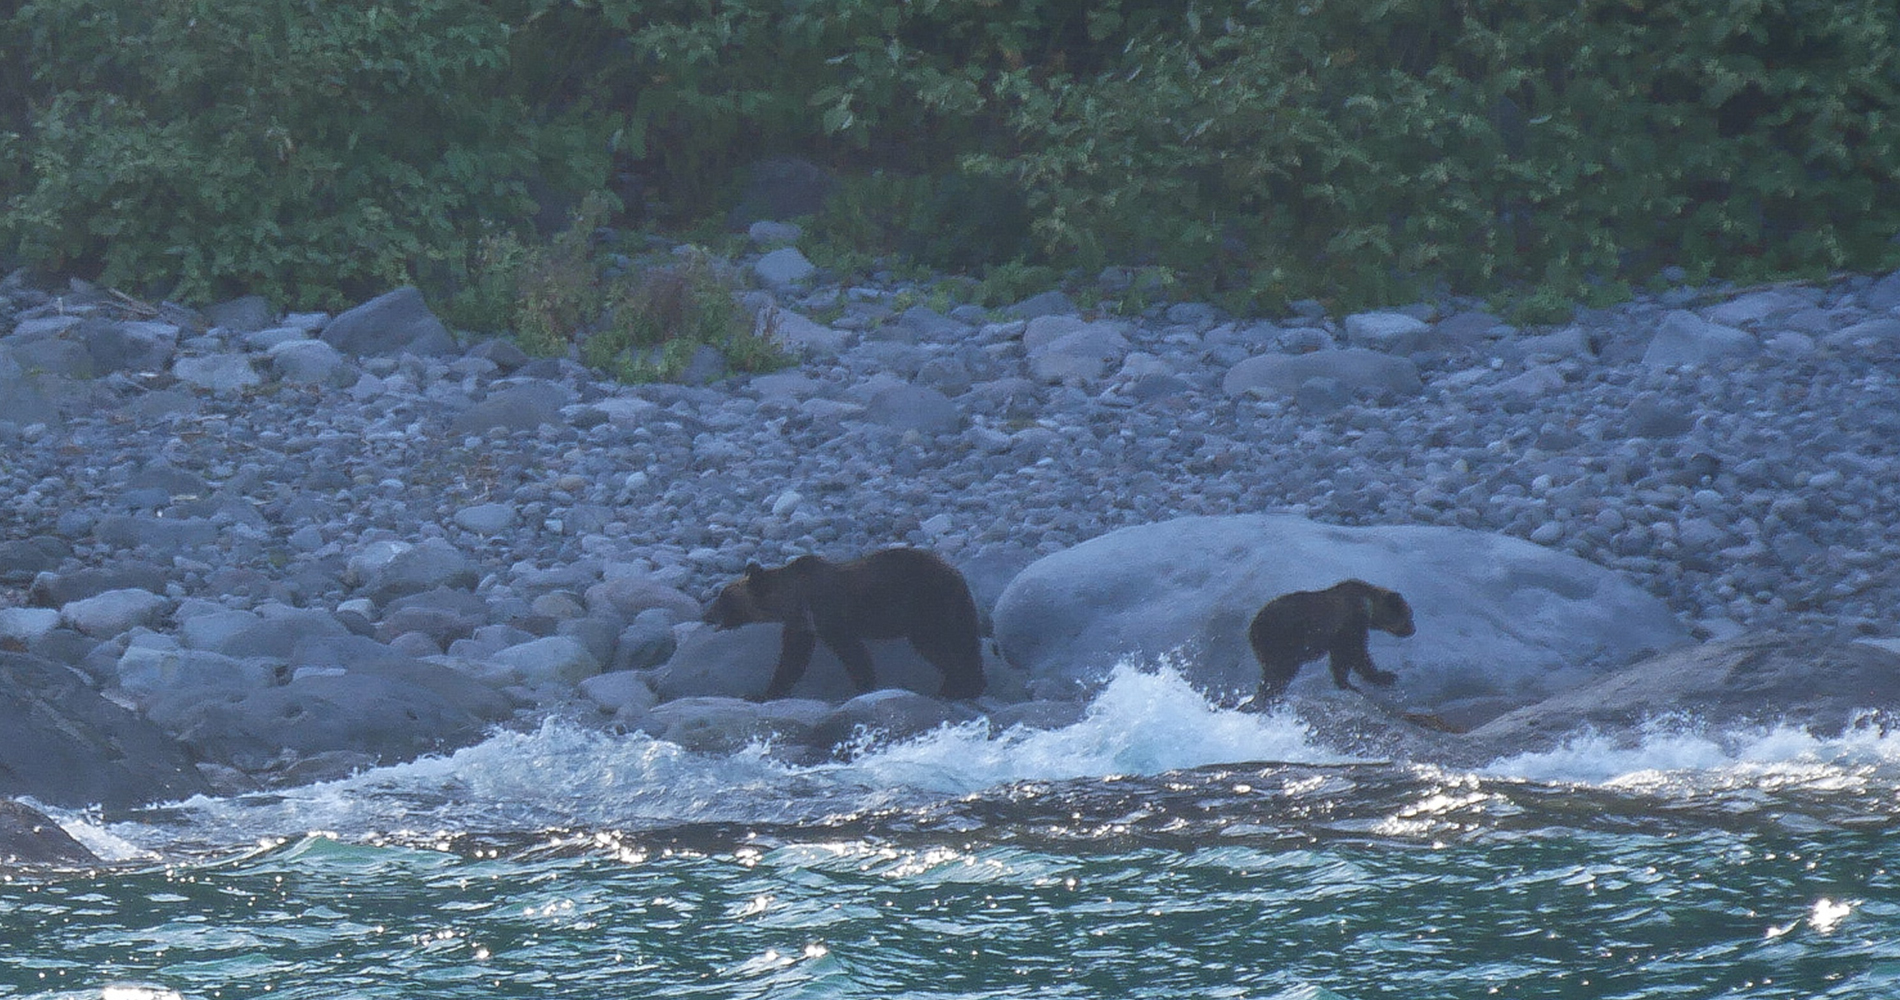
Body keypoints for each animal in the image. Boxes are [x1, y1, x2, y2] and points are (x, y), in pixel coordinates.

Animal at [703, 547, 995, 707]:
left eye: (723, 597)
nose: (706, 615)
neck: (795, 598)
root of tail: (956, 573)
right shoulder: (802, 625)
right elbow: (791, 660)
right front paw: (762, 693)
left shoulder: (828, 614)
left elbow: (852, 652)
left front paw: (864, 688)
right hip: (951, 608)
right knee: (964, 644)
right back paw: (967, 684)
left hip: (927, 603)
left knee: (938, 645)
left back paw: (954, 687)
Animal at [1246, 581, 1413, 707]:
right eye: (1408, 615)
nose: (1413, 630)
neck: (1367, 607)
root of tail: (1254, 626)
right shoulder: (1351, 624)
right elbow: (1356, 654)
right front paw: (1385, 676)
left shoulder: (1337, 636)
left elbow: (1340, 659)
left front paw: (1346, 683)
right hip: (1284, 639)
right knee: (1281, 669)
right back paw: (1269, 694)